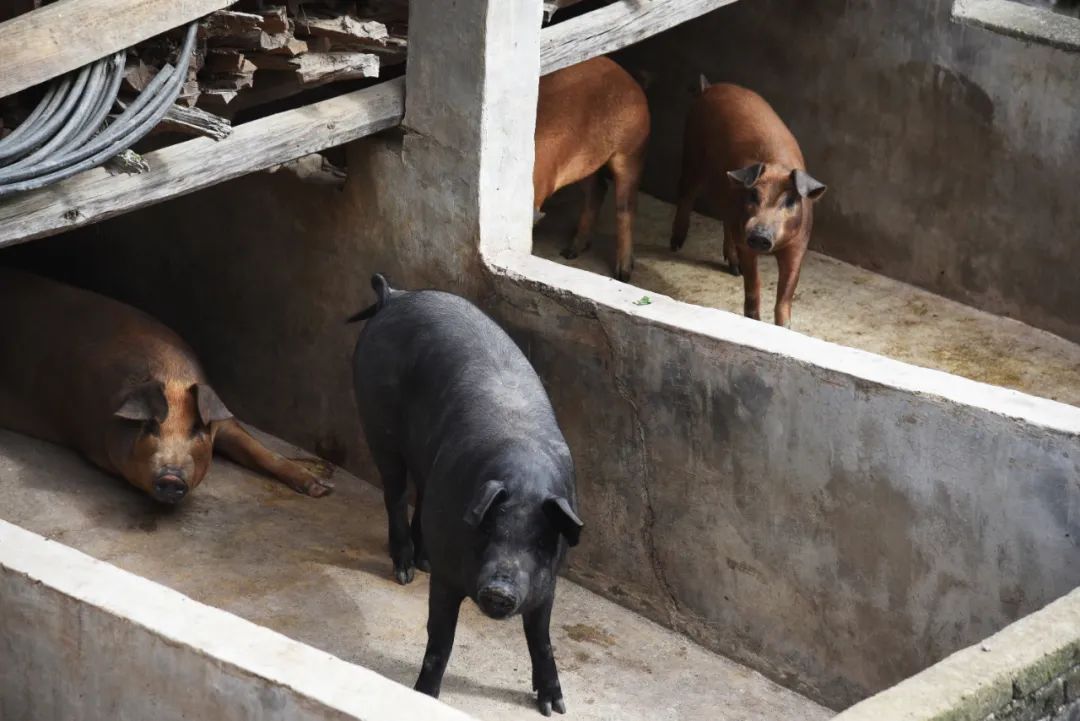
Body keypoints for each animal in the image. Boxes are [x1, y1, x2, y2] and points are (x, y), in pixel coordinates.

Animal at [0, 267, 332, 505]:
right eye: (149, 427)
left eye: (196, 429)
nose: (171, 477)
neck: (172, 376)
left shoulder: (222, 420)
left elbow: (258, 449)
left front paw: (322, 489)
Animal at [347, 274, 583, 716]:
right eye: (488, 528)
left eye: (541, 541)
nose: (499, 590)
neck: (523, 474)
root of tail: (394, 296)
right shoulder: (448, 577)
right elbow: (441, 639)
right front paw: (423, 697)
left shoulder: (548, 581)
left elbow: (541, 638)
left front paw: (555, 708)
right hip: (376, 421)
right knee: (395, 492)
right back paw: (405, 572)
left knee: (421, 491)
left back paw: (420, 561)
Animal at [533, 55, 648, 280]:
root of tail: (629, 78)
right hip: (585, 165)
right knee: (598, 190)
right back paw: (570, 252)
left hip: (631, 152)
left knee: (625, 207)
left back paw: (623, 274)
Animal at [673, 78, 825, 325]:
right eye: (753, 195)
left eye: (789, 201)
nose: (760, 234)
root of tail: (709, 87)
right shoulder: (746, 242)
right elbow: (754, 284)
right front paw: (754, 319)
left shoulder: (799, 244)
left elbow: (785, 294)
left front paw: (785, 327)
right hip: (691, 151)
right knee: (687, 192)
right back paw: (676, 245)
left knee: (724, 218)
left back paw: (734, 270)